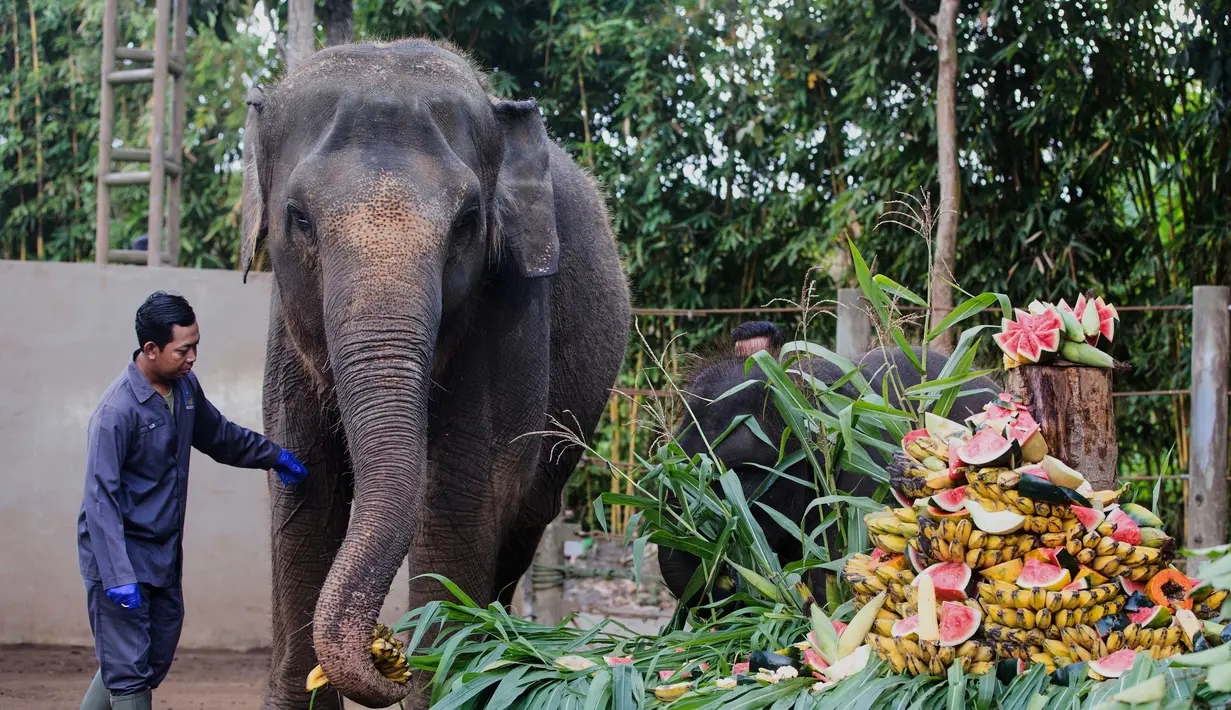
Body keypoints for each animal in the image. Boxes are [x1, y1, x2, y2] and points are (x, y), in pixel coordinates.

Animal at [239, 40, 630, 708]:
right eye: (298, 217)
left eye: (468, 221)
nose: (387, 656)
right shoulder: (284, 328)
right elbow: (304, 492)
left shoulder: (506, 310)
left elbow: (458, 495)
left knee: (518, 526)